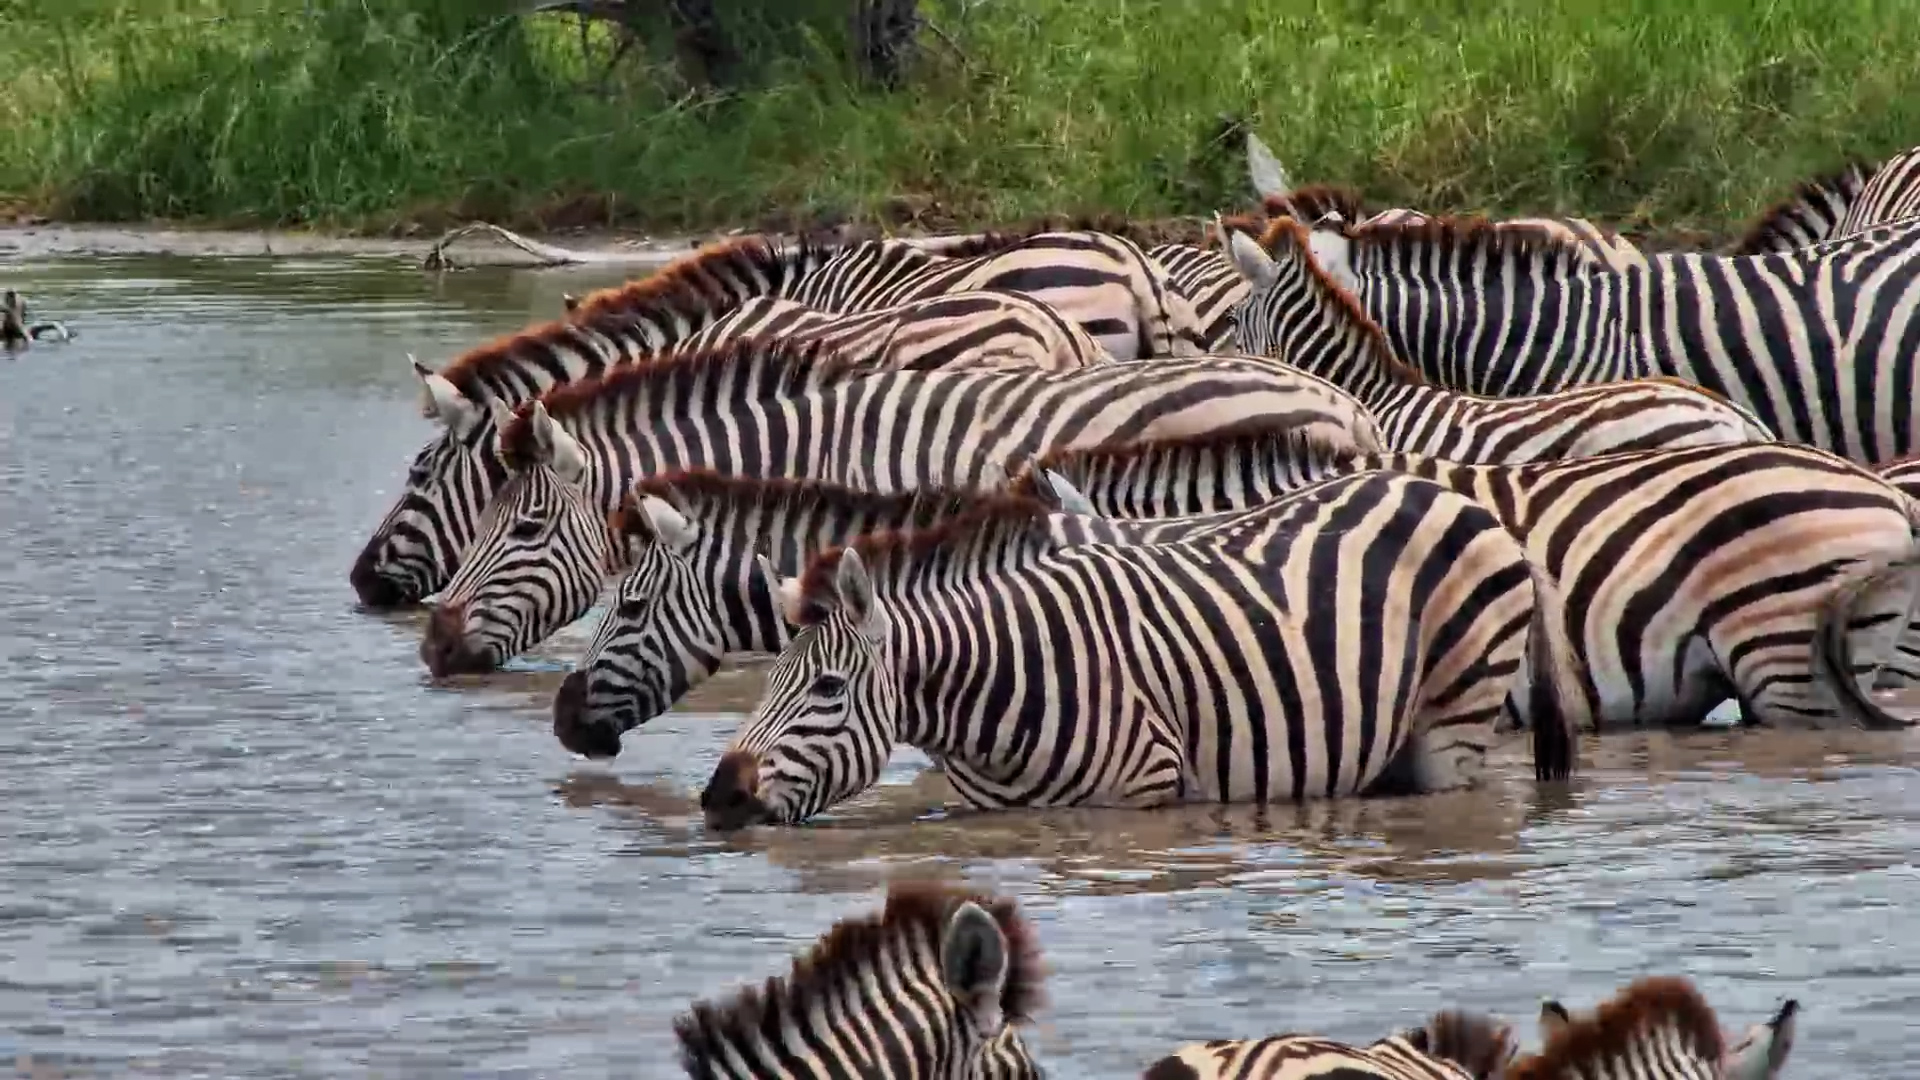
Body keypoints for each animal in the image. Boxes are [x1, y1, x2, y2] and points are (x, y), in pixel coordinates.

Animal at [697, 470, 1585, 829]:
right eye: (768, 684)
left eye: (827, 691)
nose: (719, 797)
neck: (995, 685)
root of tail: (1467, 500)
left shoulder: (1140, 795)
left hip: (1453, 721)